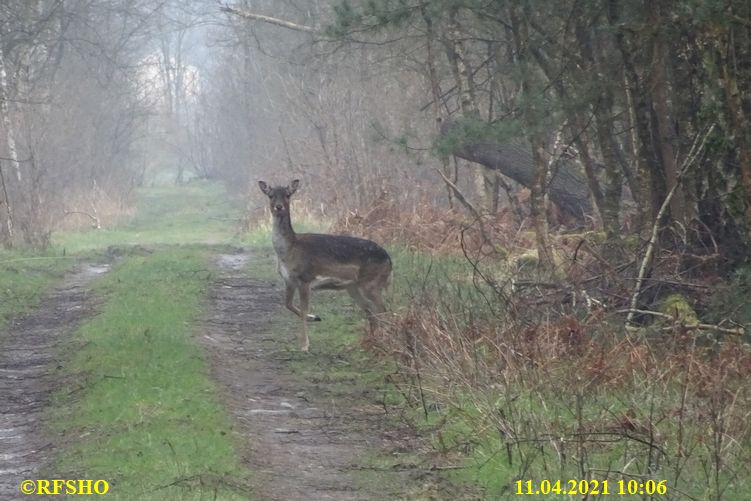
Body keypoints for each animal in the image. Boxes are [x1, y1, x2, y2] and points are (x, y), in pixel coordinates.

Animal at [260, 180, 394, 352]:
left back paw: (386, 341)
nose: (278, 207)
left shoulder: (305, 278)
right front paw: (315, 317)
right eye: (270, 195)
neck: (289, 251)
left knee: (382, 310)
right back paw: (373, 340)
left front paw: (305, 345)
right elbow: (288, 304)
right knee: (370, 310)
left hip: (371, 283)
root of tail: (390, 261)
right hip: (353, 287)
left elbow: (303, 309)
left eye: (287, 195)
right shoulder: (289, 280)